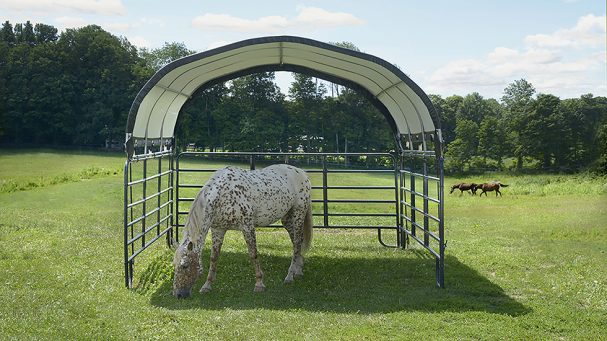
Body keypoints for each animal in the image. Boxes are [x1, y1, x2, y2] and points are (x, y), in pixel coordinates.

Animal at [172, 163, 312, 296]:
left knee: (297, 243)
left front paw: (259, 284)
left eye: (185, 265)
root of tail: (302, 173)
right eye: (174, 265)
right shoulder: (218, 230)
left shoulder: (247, 226)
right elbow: (214, 257)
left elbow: (253, 254)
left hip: (298, 215)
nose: (179, 294)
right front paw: (207, 286)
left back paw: (289, 276)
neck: (222, 196)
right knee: (297, 242)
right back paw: (298, 271)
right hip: (287, 219)